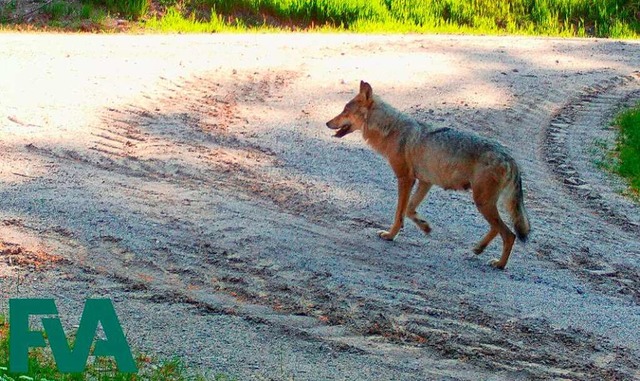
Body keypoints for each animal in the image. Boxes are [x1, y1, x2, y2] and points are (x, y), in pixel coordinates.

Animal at [324, 81, 528, 268]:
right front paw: (425, 225)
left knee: (509, 234)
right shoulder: (424, 181)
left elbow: (399, 213)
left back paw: (499, 264)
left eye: (344, 111)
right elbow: (409, 209)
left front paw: (390, 235)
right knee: (498, 229)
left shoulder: (405, 179)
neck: (391, 130)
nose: (326, 123)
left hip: (483, 203)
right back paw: (479, 248)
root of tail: (509, 157)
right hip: (484, 203)